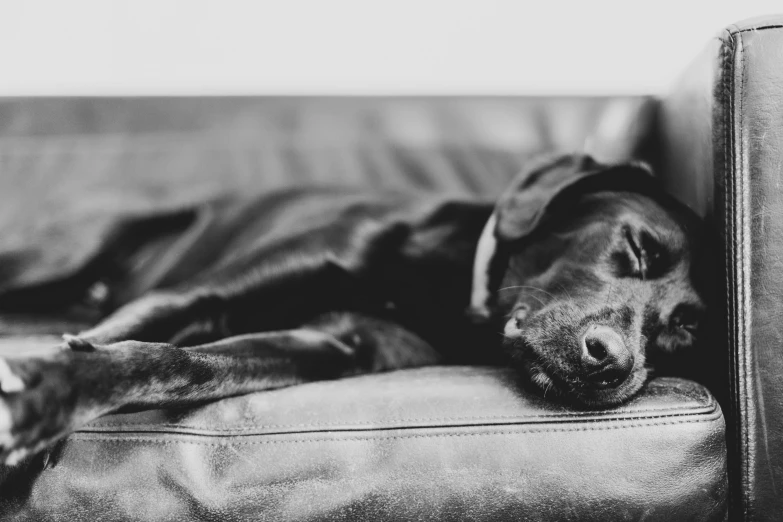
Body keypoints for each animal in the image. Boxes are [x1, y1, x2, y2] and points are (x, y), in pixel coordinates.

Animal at [0, 152, 712, 462]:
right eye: (638, 248)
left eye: (683, 329)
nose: (612, 366)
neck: (440, 292)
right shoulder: (191, 293)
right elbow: (124, 337)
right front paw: (44, 396)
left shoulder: (325, 345)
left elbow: (178, 362)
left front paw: (48, 401)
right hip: (65, 256)